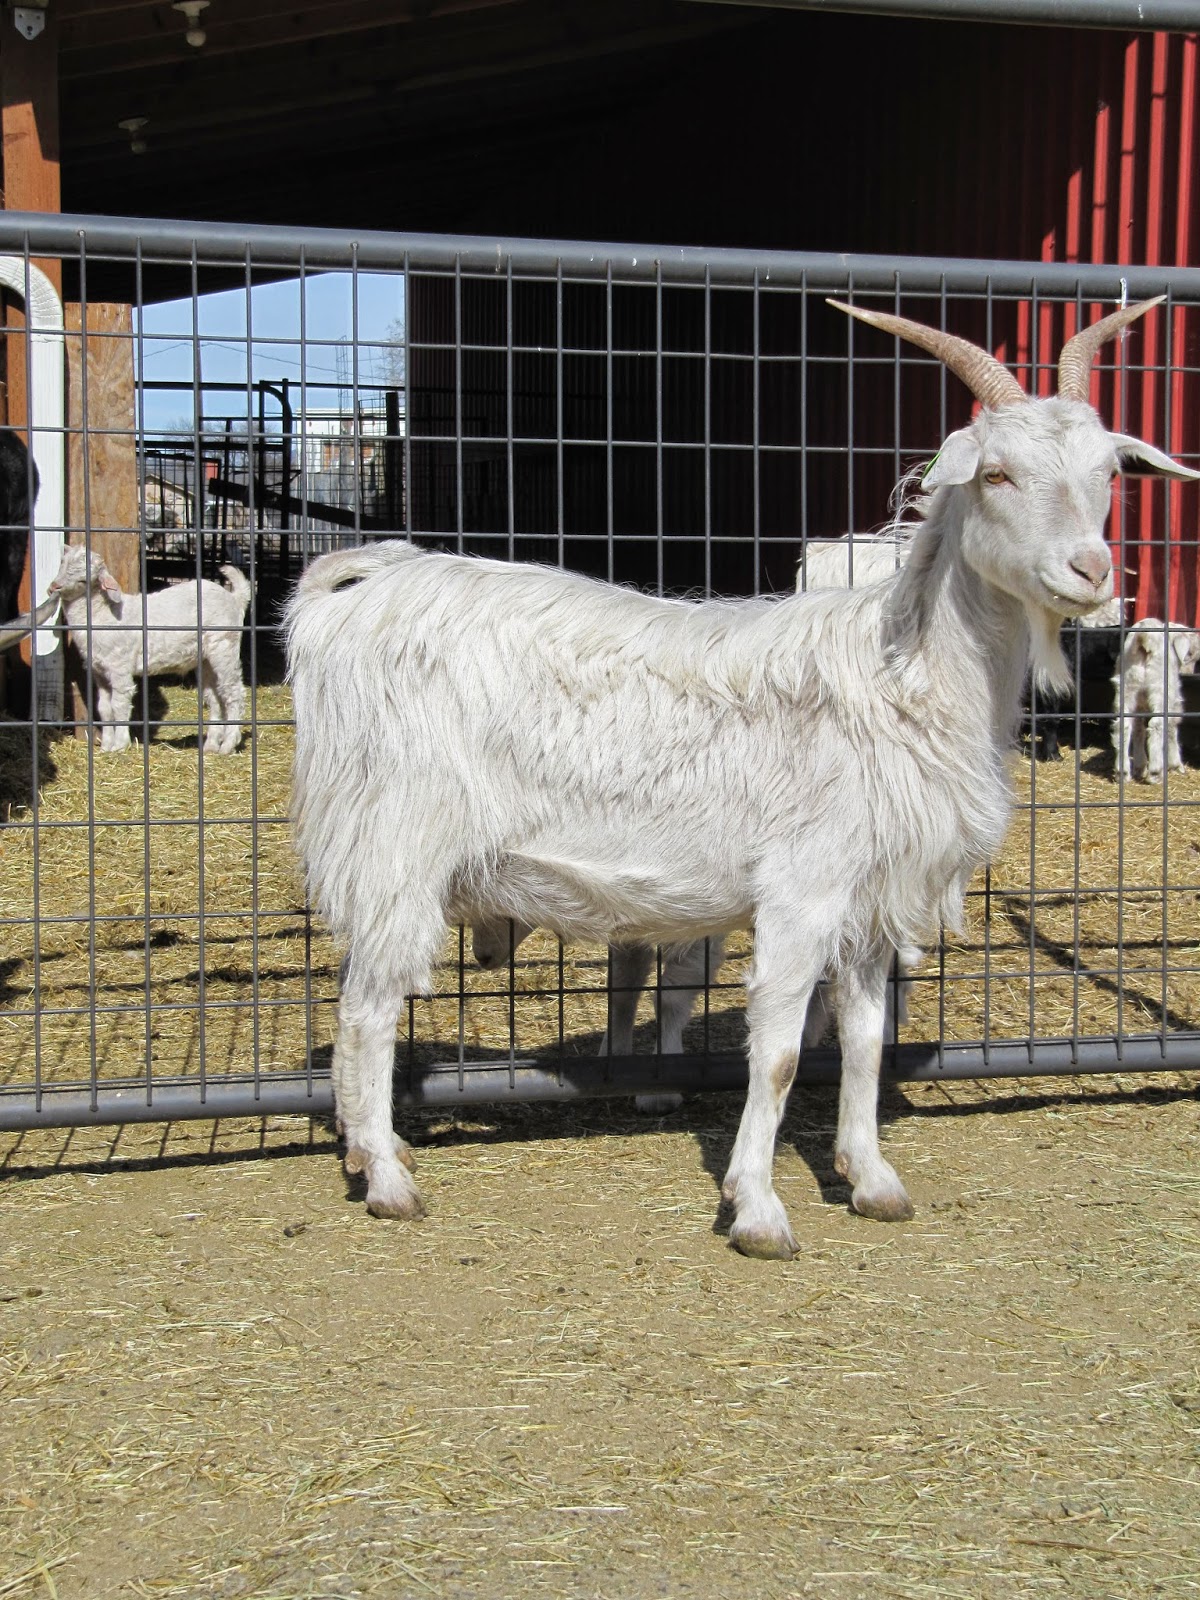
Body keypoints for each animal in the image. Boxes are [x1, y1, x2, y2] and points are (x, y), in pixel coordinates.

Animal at [49, 545, 251, 754]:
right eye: (62, 563)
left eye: (84, 579)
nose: (54, 587)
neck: (102, 614)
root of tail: (235, 599)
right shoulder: (100, 671)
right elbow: (104, 708)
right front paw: (106, 746)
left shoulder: (119, 666)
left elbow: (119, 704)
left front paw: (120, 745)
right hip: (206, 659)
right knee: (215, 697)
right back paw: (211, 745)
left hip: (224, 646)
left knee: (234, 693)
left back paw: (228, 744)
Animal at [1112, 617, 1200, 780]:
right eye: (1190, 653)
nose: (1189, 671)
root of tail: (1144, 637)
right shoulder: (1173, 698)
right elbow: (1172, 727)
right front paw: (1176, 764)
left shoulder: (1139, 706)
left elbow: (1138, 729)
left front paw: (1140, 766)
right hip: (1160, 688)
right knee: (1156, 724)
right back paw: (1155, 771)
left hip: (1127, 685)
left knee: (1123, 725)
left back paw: (1123, 772)